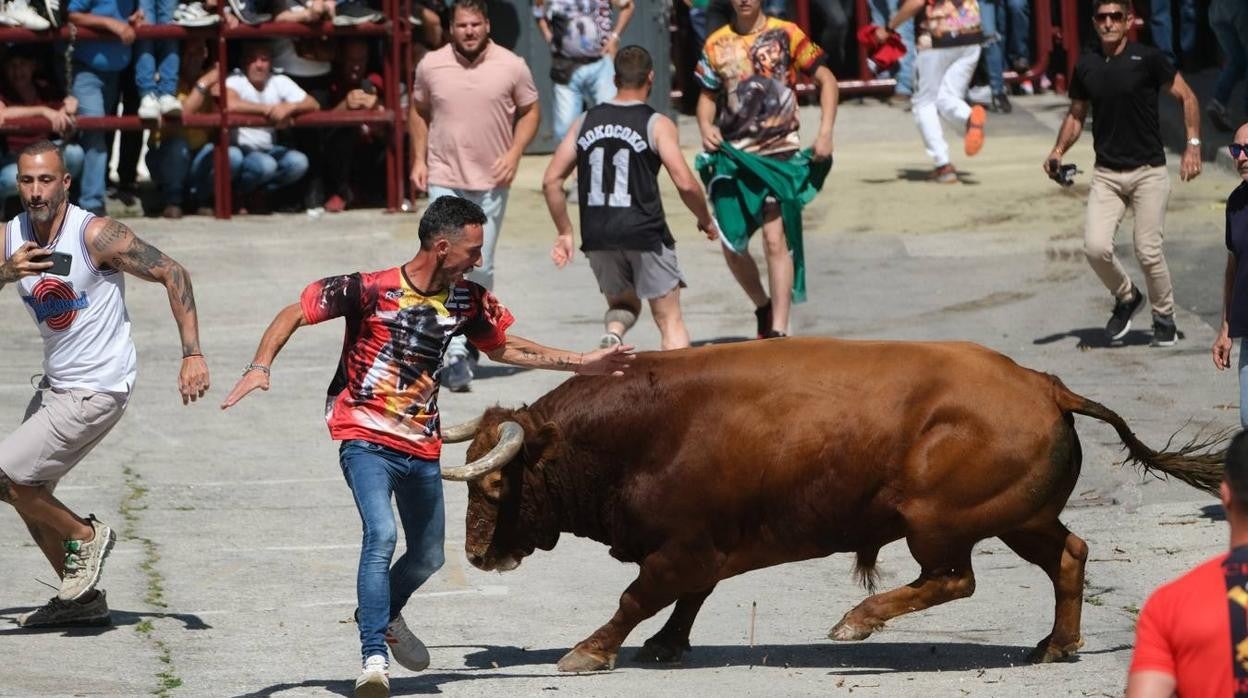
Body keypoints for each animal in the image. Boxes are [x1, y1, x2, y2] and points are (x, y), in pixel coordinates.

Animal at [436, 337, 1218, 674]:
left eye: (495, 486)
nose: (475, 552)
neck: (638, 432)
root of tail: (1045, 384)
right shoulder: (704, 548)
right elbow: (687, 599)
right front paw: (666, 644)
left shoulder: (681, 547)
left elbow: (638, 597)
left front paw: (590, 651)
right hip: (1021, 518)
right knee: (1069, 556)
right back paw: (1056, 644)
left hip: (936, 523)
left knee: (954, 578)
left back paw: (856, 622)